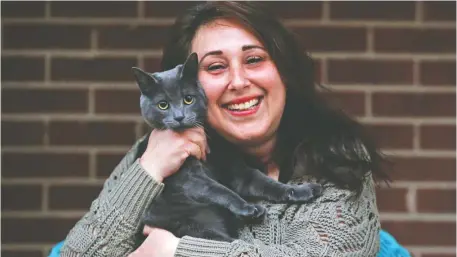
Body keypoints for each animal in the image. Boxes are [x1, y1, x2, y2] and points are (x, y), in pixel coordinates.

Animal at [130, 52, 320, 242]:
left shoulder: (238, 170)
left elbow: (265, 182)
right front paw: (249, 208)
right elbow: (219, 190)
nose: (179, 117)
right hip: (194, 224)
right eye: (163, 105)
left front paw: (304, 190)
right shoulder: (188, 178)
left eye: (188, 99)